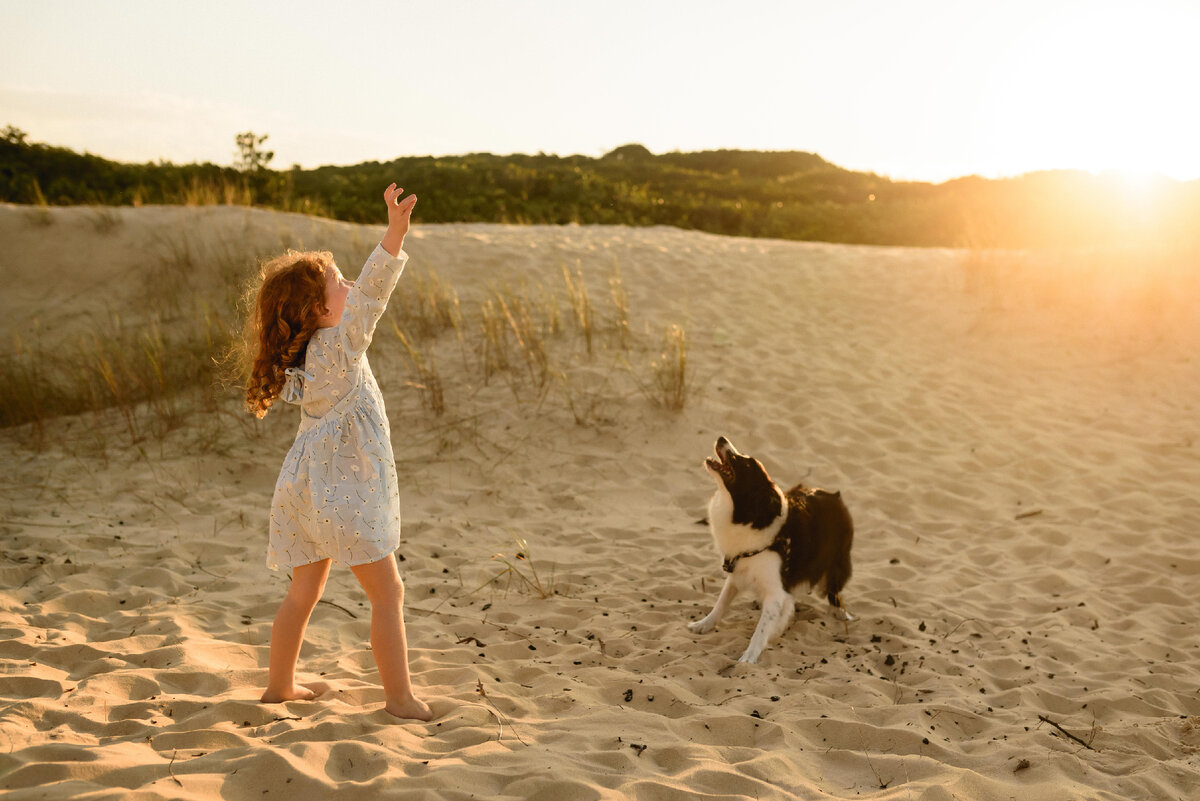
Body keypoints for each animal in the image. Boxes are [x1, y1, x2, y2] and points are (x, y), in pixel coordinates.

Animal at [691, 438, 849, 661]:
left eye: (747, 464)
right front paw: (703, 624)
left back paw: (839, 613)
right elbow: (721, 602)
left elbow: (762, 628)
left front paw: (749, 656)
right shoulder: (737, 572)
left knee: (834, 589)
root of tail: (833, 495)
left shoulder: (774, 591)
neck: (749, 516)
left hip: (838, 559)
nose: (722, 438)